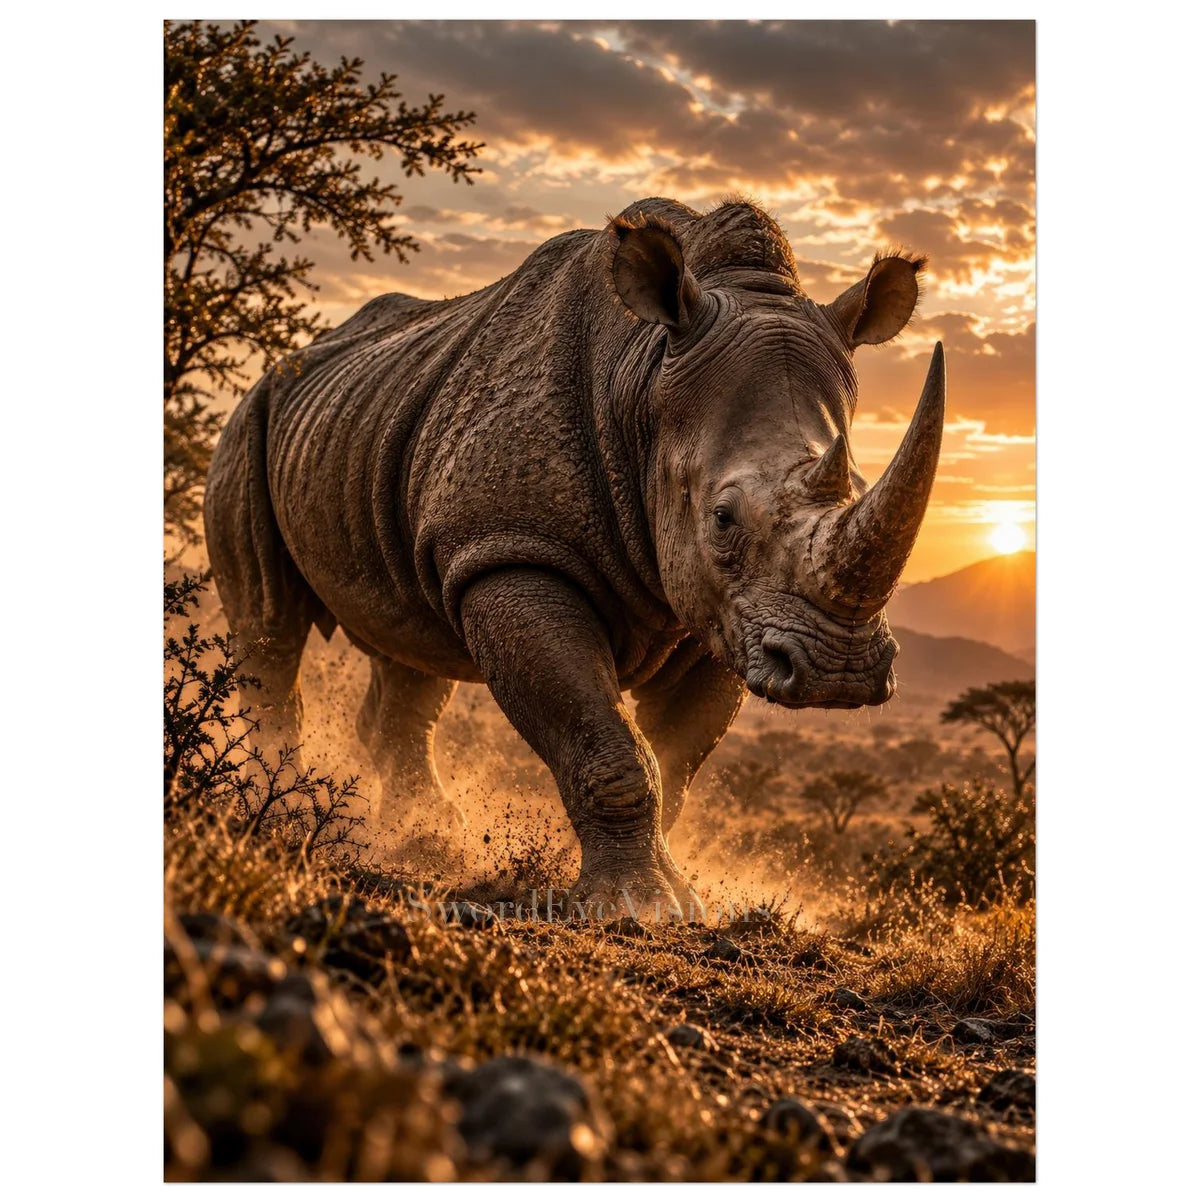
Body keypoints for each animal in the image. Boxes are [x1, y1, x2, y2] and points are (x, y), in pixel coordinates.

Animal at [204, 197, 944, 917]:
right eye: (723, 518)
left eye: (857, 488)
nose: (838, 673)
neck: (644, 379)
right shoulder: (513, 552)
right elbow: (604, 738)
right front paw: (636, 907)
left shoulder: (725, 611)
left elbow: (674, 759)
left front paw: (669, 890)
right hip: (248, 424)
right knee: (270, 627)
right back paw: (280, 811)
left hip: (373, 425)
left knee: (409, 644)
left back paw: (422, 838)